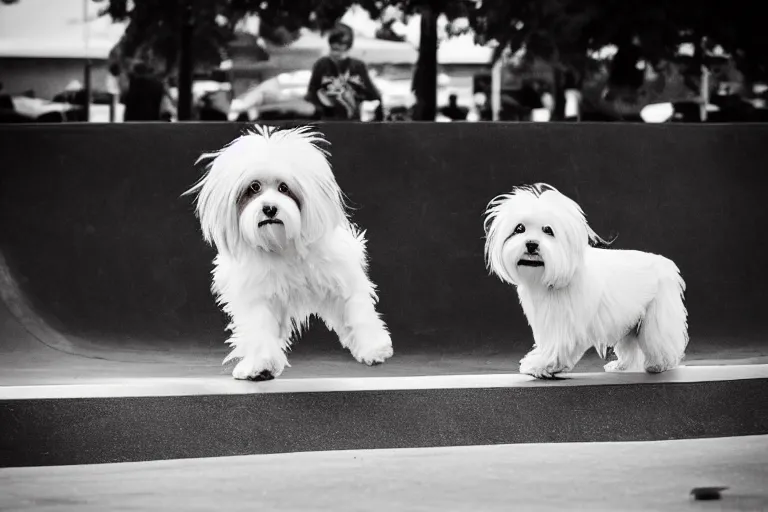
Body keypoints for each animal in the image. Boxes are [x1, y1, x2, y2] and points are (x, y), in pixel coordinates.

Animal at [183, 124, 392, 380]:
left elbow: (356, 309)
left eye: (284, 188)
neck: (282, 244)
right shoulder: (258, 294)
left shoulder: (341, 278)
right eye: (254, 187)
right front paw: (260, 365)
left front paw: (373, 347)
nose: (270, 208)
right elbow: (260, 328)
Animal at [484, 182, 688, 378]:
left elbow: (558, 345)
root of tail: (665, 264)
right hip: (630, 320)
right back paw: (622, 366)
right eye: (519, 228)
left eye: (548, 230)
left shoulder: (565, 322)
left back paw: (660, 364)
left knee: (659, 340)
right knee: (630, 347)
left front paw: (542, 365)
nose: (531, 244)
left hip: (657, 314)